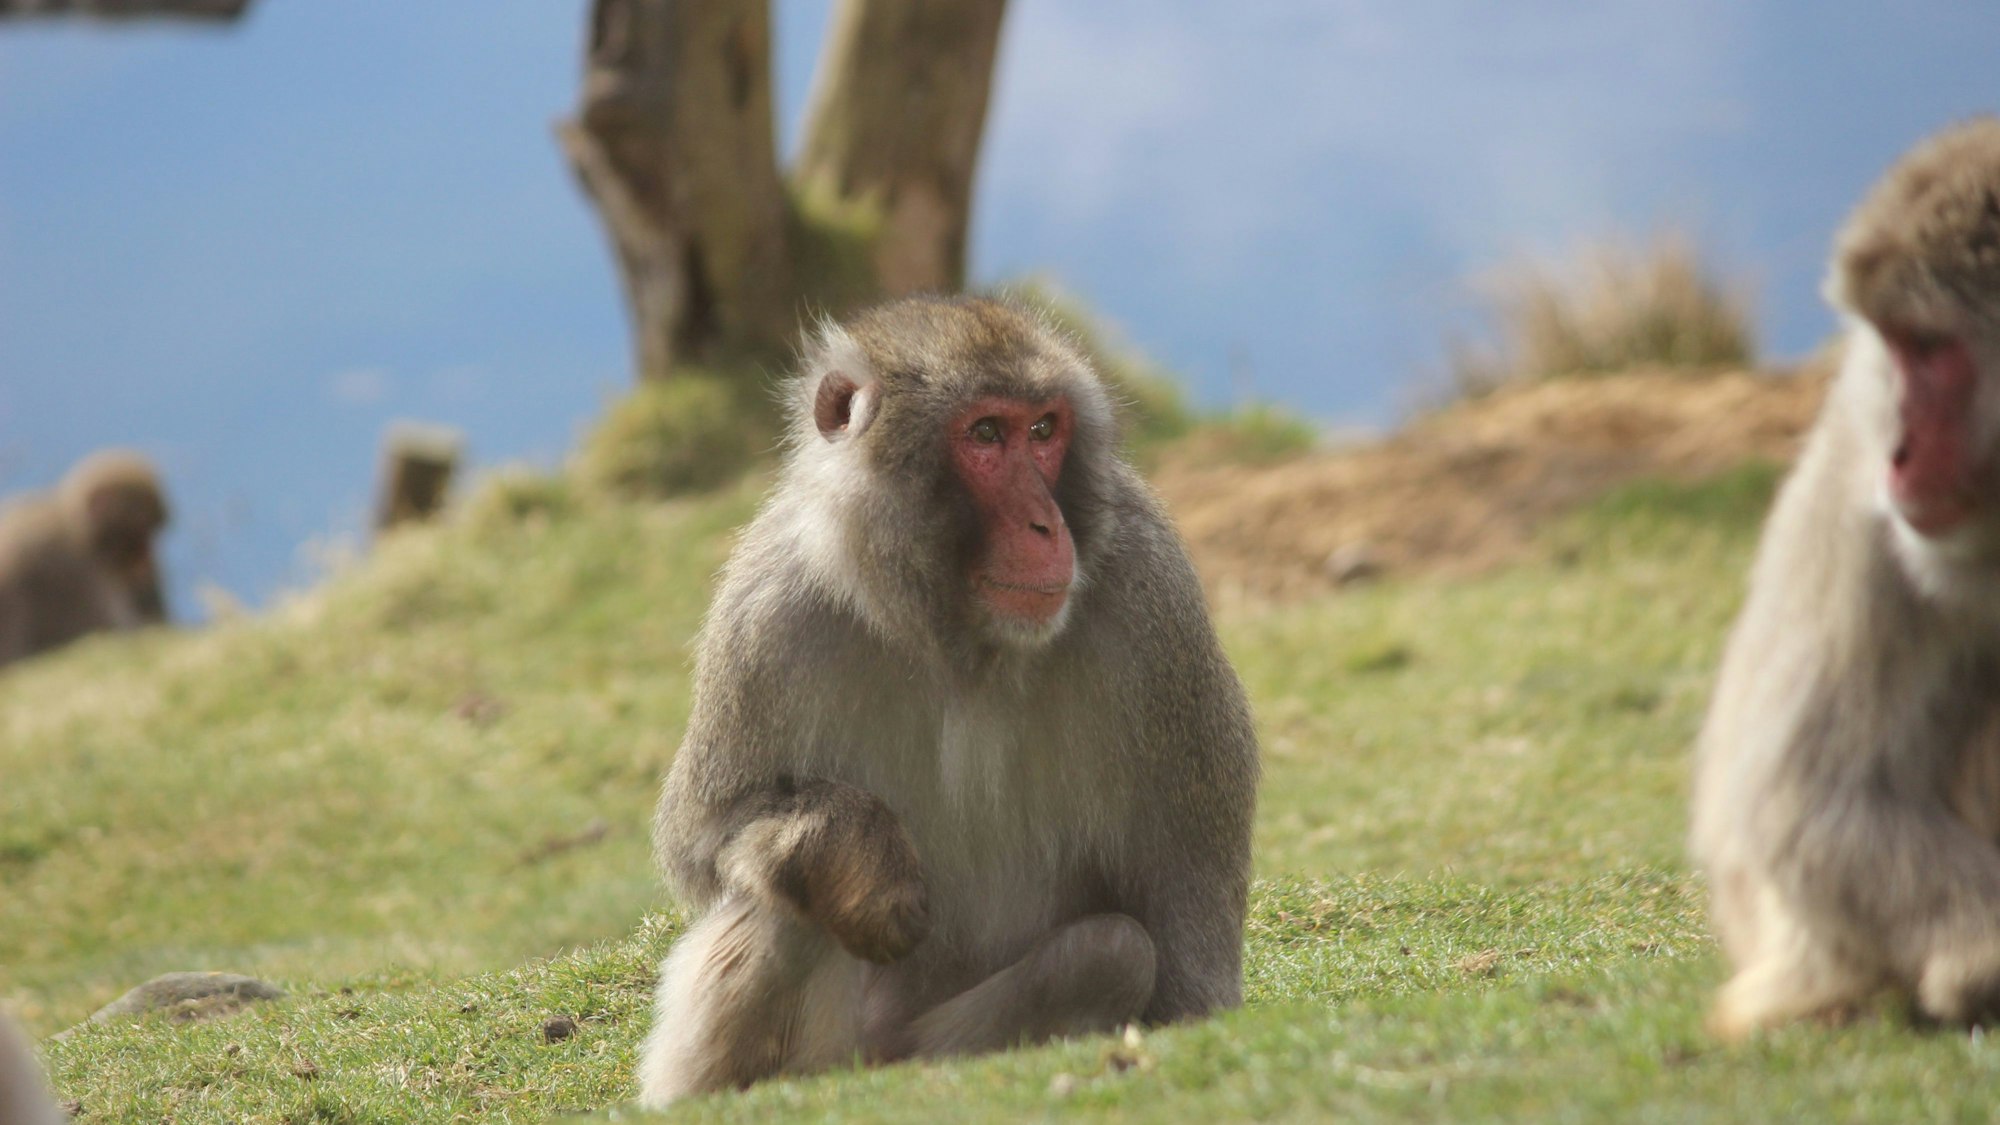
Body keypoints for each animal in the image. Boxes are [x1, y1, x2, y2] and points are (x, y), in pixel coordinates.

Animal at [633, 296, 1259, 1105]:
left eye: (1044, 430)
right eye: (985, 434)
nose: (1046, 525)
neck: (956, 635)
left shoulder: (1155, 602)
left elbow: (1184, 887)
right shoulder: (765, 612)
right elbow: (703, 836)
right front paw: (853, 854)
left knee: (1110, 951)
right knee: (787, 901)